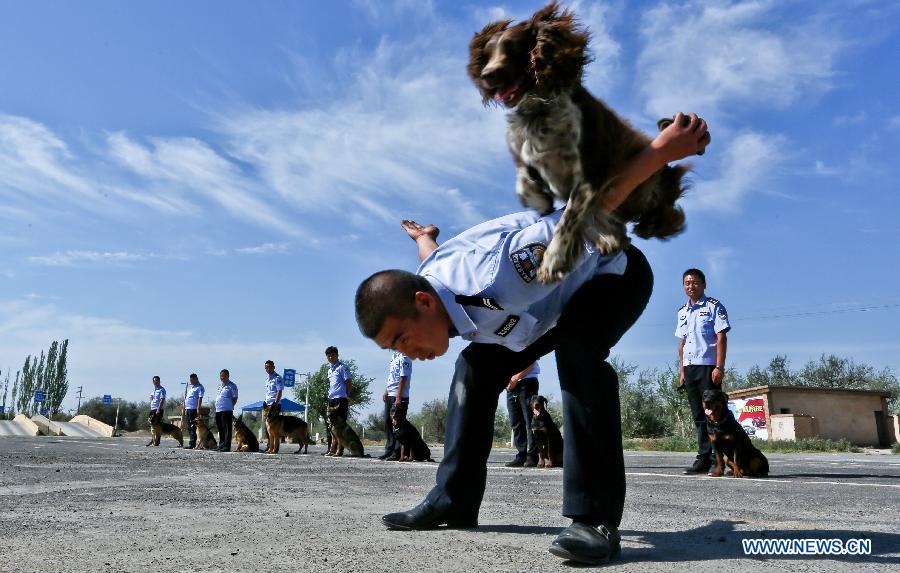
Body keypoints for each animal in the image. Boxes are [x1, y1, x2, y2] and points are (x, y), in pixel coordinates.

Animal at [468, 2, 700, 282]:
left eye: (513, 47)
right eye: (487, 54)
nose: (487, 75)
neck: (539, 112)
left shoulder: (592, 172)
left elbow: (569, 216)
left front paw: (554, 261)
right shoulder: (526, 153)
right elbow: (525, 182)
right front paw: (540, 200)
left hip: (658, 194)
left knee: (666, 217)